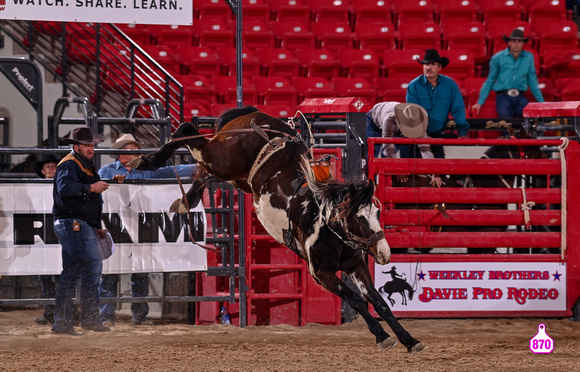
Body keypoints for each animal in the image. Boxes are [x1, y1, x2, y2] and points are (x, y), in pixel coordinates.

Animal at [129, 105, 424, 354]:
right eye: (359, 218)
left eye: (377, 213)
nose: (385, 253)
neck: (327, 225)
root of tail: (254, 115)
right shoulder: (322, 273)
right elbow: (356, 300)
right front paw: (382, 337)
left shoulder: (356, 266)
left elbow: (380, 302)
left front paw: (410, 340)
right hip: (221, 157)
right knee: (188, 131)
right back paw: (148, 160)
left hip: (235, 176)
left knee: (201, 172)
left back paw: (185, 200)